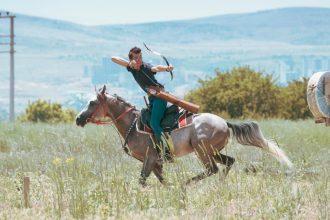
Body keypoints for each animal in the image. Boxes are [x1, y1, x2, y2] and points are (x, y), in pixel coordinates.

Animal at [76, 85, 292, 186]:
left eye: (92, 102)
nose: (78, 119)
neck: (133, 125)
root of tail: (224, 122)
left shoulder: (150, 158)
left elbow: (143, 180)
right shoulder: (155, 162)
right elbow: (161, 180)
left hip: (202, 150)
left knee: (212, 169)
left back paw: (187, 184)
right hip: (213, 151)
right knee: (229, 162)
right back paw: (219, 184)